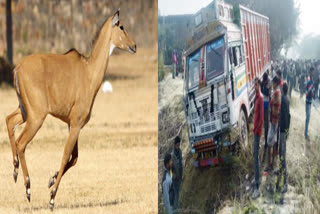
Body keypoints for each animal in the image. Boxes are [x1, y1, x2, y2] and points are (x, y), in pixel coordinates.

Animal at [5, 9, 136, 208]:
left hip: (25, 111)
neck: (89, 72)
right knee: (21, 142)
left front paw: (51, 180)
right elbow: (67, 155)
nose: (134, 45)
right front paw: (52, 196)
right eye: (121, 27)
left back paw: (14, 169)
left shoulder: (72, 124)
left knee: (8, 120)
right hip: (36, 116)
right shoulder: (76, 124)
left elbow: (74, 158)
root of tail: (17, 69)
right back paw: (27, 188)